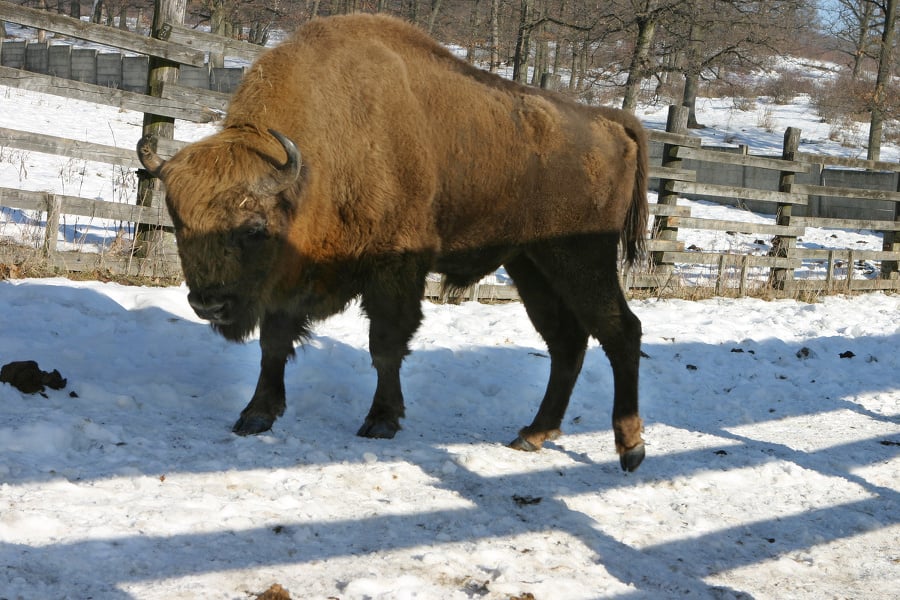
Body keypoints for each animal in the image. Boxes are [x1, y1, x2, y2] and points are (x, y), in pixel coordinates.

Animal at [139, 14, 648, 472]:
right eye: (180, 223)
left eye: (254, 228)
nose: (209, 304)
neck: (315, 169)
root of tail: (612, 122)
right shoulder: (287, 283)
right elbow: (274, 344)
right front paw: (256, 415)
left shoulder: (394, 270)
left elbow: (384, 343)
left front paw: (381, 420)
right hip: (532, 264)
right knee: (567, 342)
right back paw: (532, 434)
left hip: (581, 257)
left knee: (620, 330)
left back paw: (630, 448)